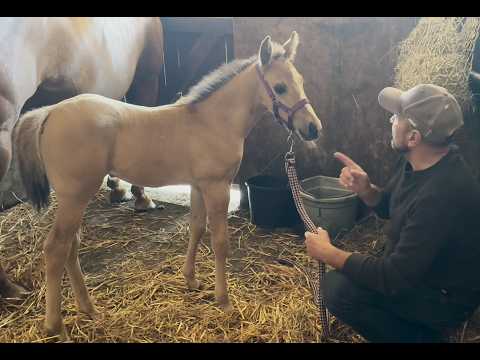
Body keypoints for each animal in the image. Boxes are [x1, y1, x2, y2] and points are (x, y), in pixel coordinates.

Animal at [14, 31, 322, 340]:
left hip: (75, 198)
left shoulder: (198, 186)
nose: (313, 128)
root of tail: (49, 112)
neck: (212, 121)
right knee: (56, 248)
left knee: (71, 246)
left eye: (301, 81)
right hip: (74, 196)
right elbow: (220, 242)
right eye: (280, 87)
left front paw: (191, 280)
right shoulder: (217, 187)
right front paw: (223, 300)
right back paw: (55, 327)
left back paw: (89, 309)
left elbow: (196, 229)